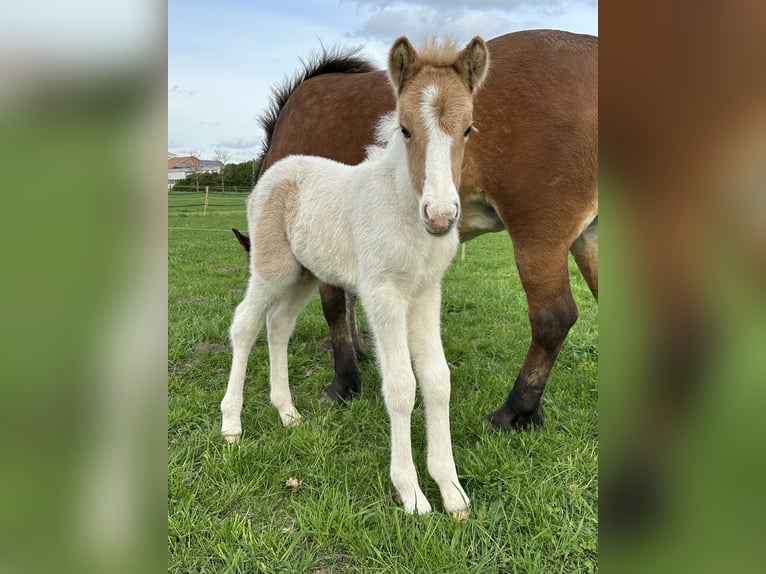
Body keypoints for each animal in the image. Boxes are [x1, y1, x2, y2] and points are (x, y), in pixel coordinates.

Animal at [219, 36, 488, 516]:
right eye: (405, 129)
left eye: (468, 129)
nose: (440, 216)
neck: (402, 207)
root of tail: (275, 170)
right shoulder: (383, 294)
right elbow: (401, 385)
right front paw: (412, 493)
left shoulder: (426, 294)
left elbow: (437, 380)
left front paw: (452, 491)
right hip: (273, 268)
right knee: (246, 324)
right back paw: (231, 424)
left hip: (305, 274)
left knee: (278, 325)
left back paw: (287, 412)